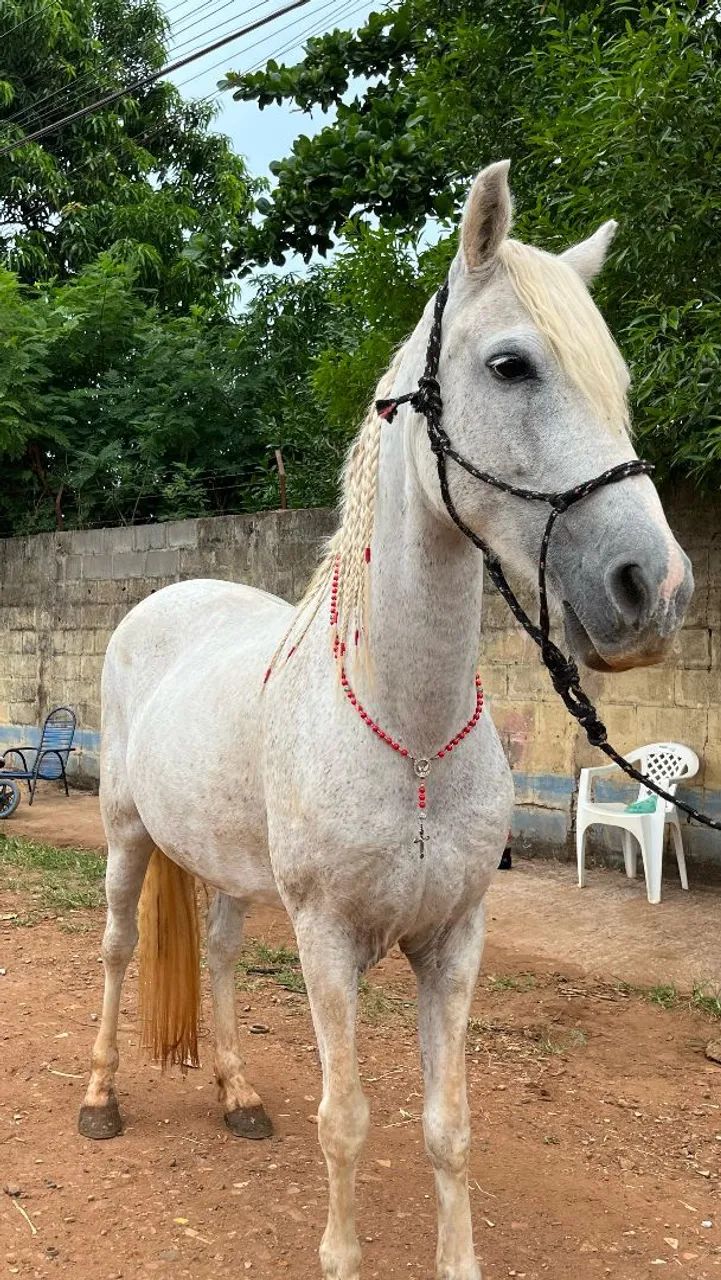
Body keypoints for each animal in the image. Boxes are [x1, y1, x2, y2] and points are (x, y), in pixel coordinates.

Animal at [78, 160, 693, 1280]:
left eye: (617, 383)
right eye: (510, 365)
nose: (653, 590)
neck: (410, 739)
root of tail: (166, 596)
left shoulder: (453, 941)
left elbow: (447, 1128)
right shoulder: (327, 943)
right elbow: (347, 1122)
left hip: (225, 866)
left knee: (220, 955)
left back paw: (235, 1092)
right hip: (126, 837)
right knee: (112, 948)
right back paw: (100, 1097)